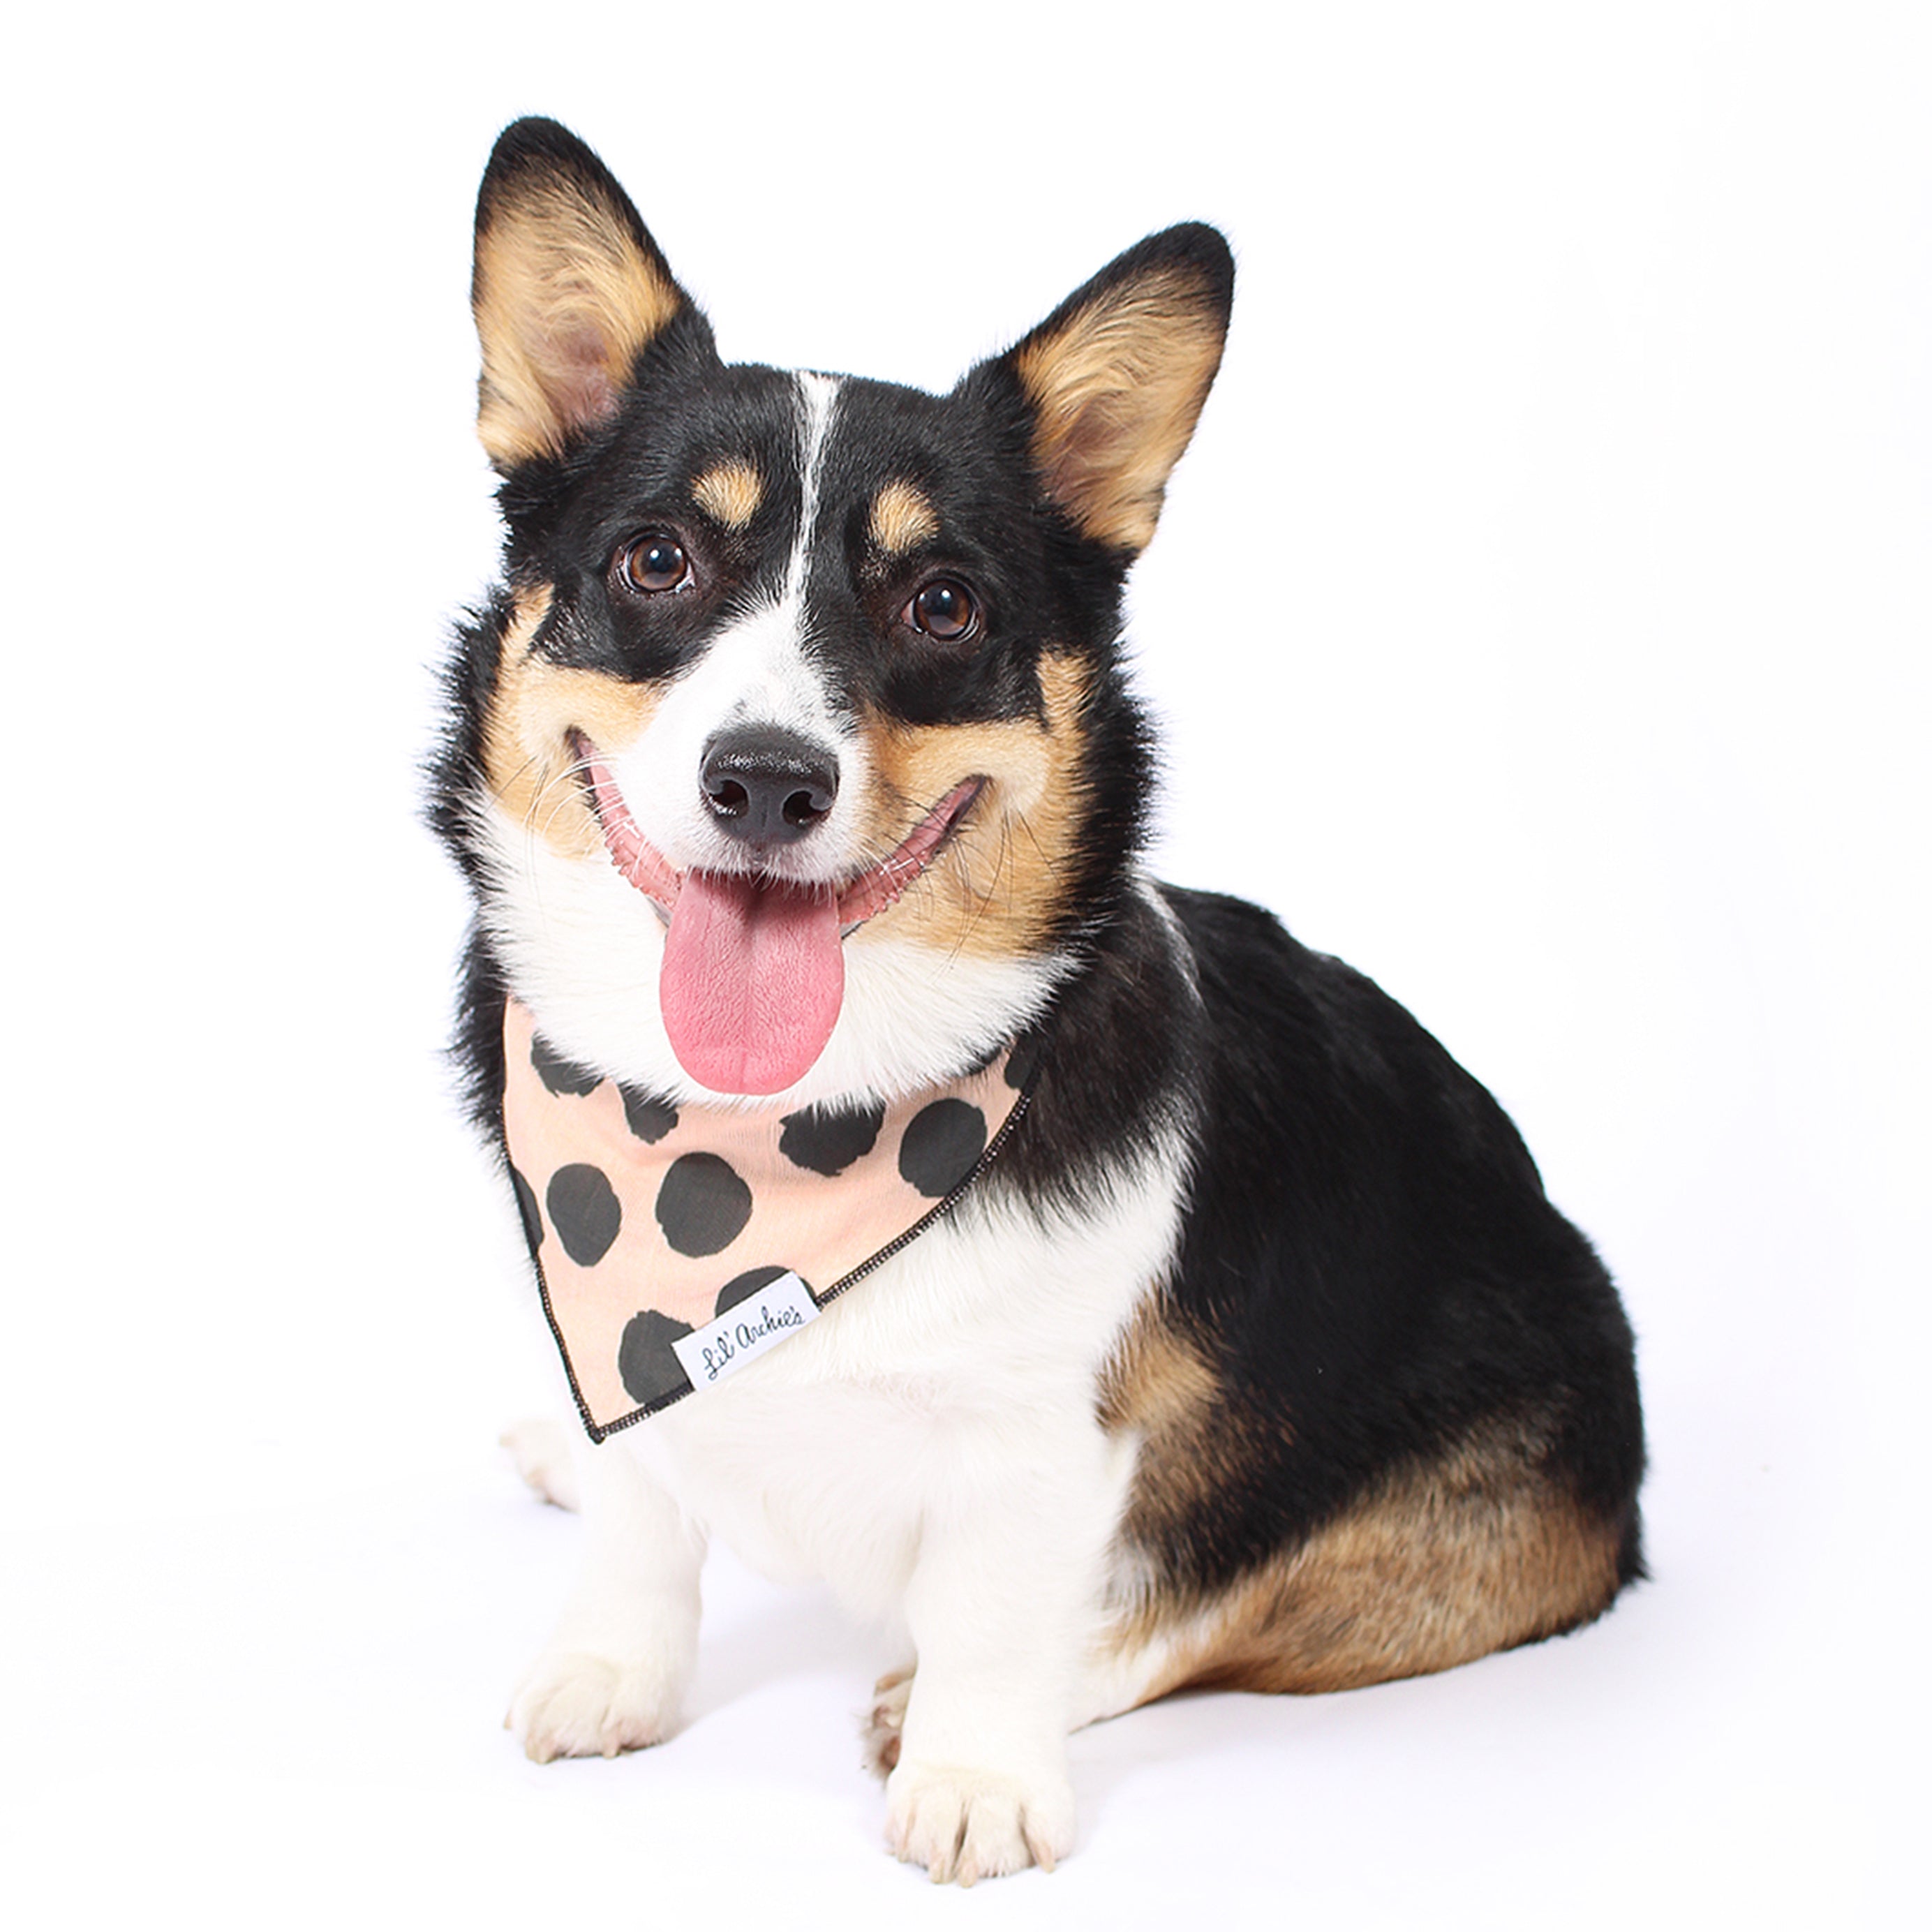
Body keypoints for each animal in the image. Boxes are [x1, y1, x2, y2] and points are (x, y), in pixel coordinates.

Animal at [431, 117, 1645, 1884]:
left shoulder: (1046, 1435)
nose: (765, 780)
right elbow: (647, 1507)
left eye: (941, 602)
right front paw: (610, 1668)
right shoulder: (628, 1361)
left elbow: (1016, 1605)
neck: (751, 1147)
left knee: (1214, 1605)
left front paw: (972, 1775)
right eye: (657, 561)